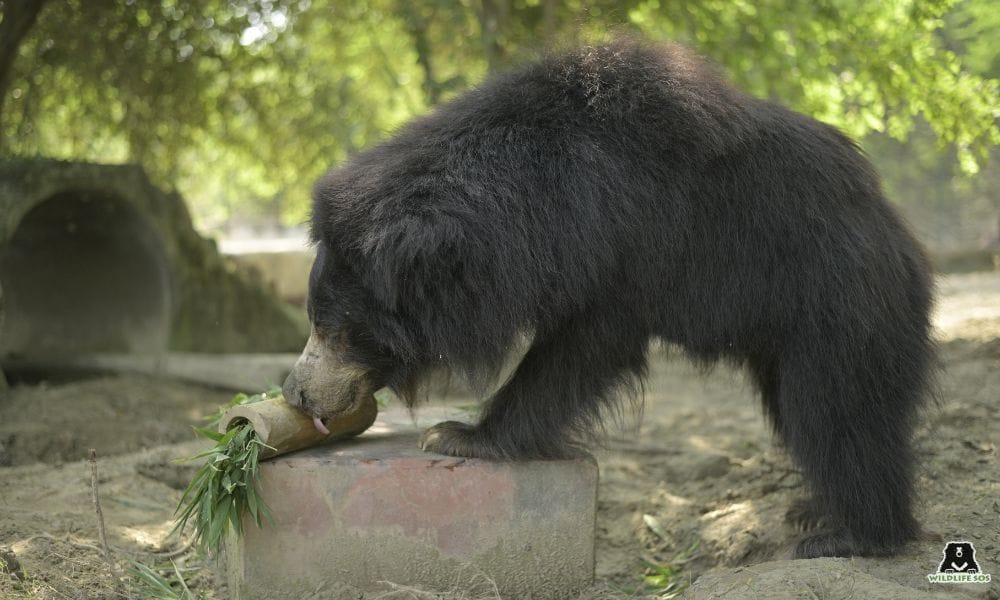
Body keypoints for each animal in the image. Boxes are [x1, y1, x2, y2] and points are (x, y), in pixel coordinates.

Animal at [281, 40, 935, 559]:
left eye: (334, 330)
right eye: (315, 322)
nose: (295, 393)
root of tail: (899, 235)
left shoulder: (622, 251)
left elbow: (578, 352)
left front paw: (458, 436)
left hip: (833, 302)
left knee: (836, 409)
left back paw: (850, 536)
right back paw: (813, 511)